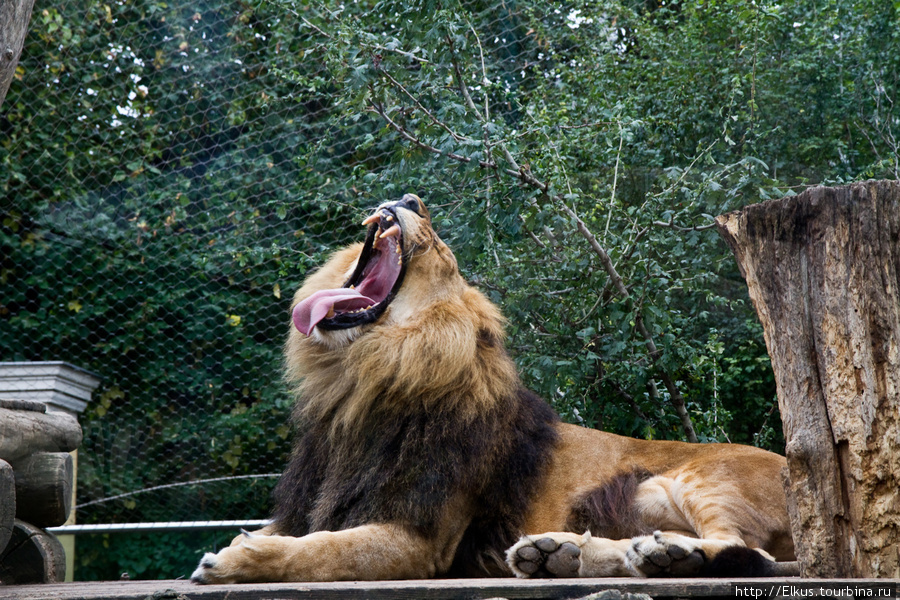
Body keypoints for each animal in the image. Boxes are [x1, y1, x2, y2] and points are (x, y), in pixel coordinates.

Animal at [190, 195, 796, 584]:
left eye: (439, 250)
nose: (408, 197)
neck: (357, 382)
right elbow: (301, 533)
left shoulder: (419, 538)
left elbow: (322, 550)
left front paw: (238, 560)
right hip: (642, 491)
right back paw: (564, 554)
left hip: (705, 479)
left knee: (749, 552)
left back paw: (668, 557)